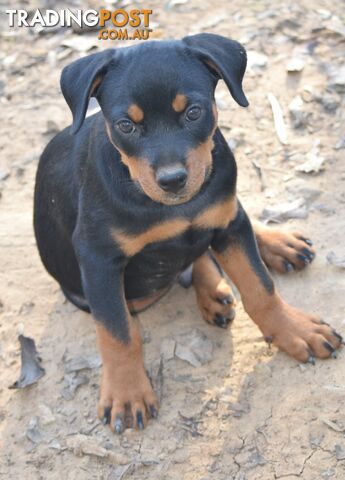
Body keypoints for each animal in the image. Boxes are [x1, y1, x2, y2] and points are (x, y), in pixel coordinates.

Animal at [33, 32, 340, 432]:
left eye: (193, 112)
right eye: (126, 125)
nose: (172, 180)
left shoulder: (228, 224)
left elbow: (261, 288)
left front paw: (295, 330)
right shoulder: (98, 259)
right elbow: (118, 333)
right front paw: (126, 394)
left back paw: (271, 248)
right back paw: (214, 288)